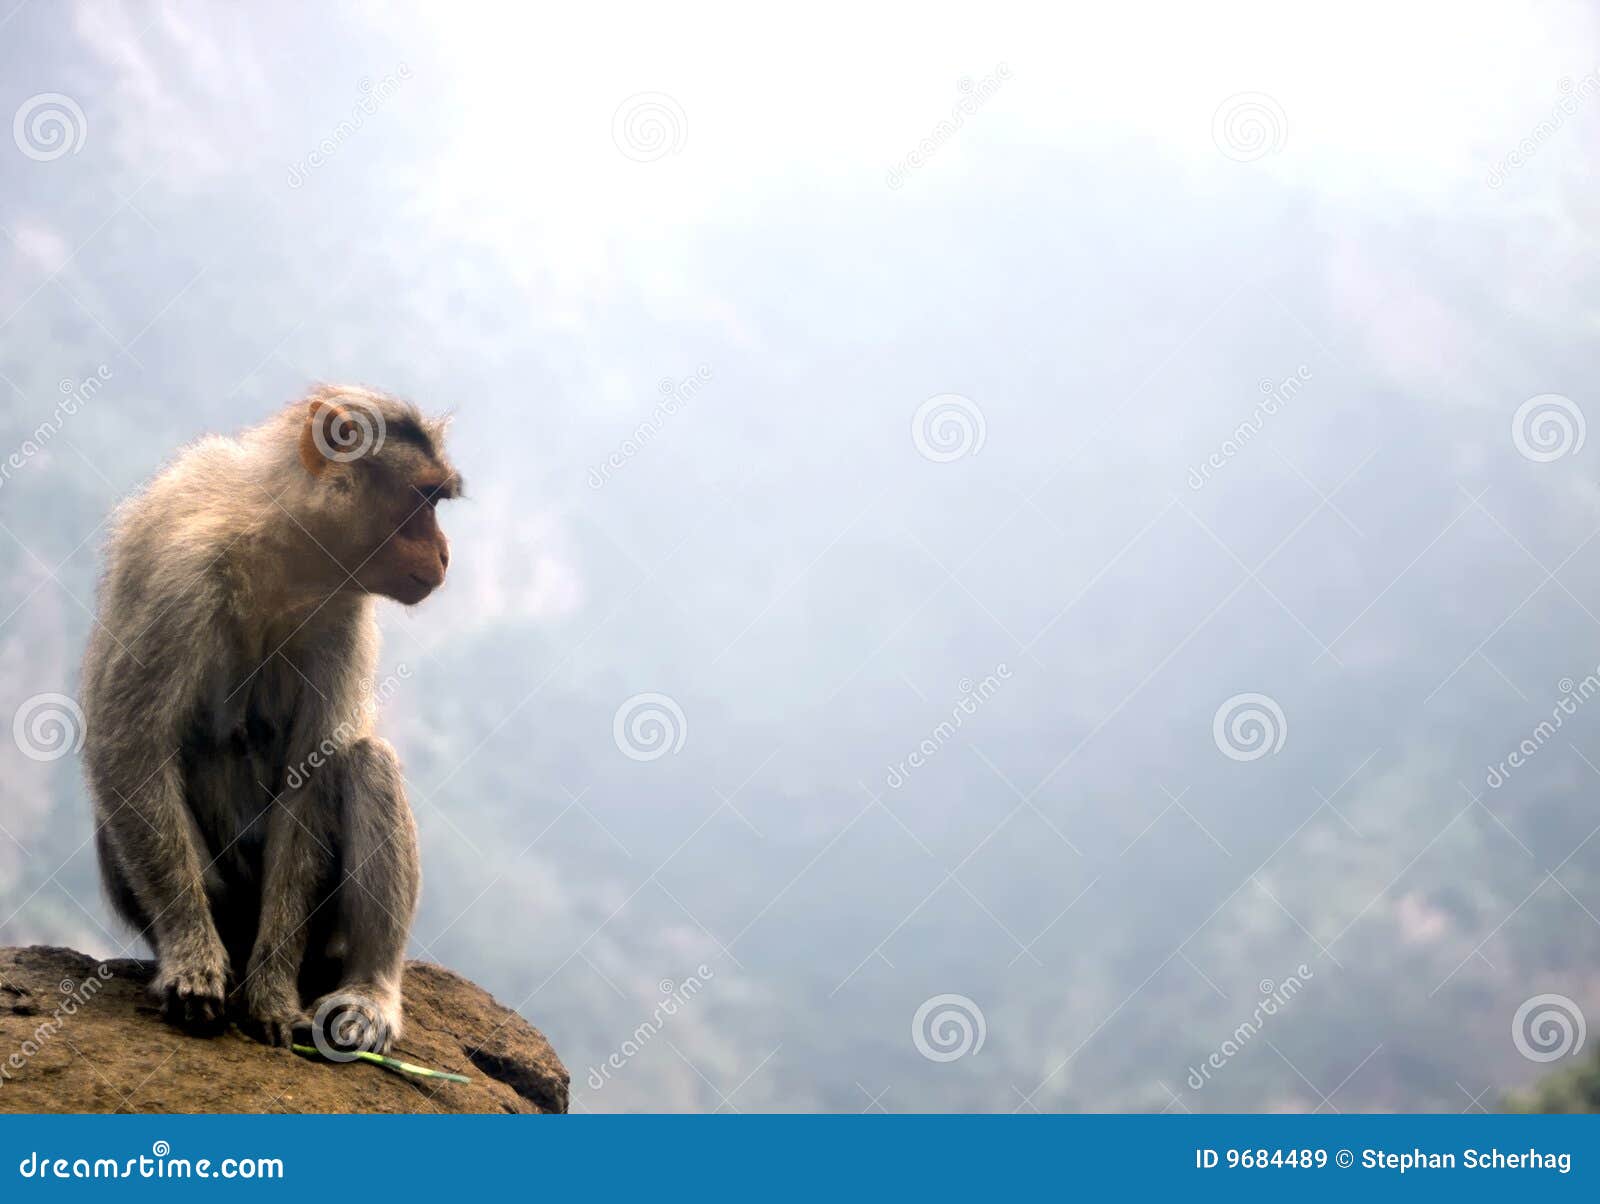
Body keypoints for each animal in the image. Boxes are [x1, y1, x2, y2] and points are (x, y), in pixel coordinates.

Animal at [79, 387, 464, 1050]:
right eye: (423, 499)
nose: (444, 554)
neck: (280, 541)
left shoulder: (342, 613)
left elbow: (310, 772)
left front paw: (273, 993)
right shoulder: (181, 576)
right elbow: (128, 745)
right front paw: (192, 957)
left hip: (324, 934)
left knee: (365, 762)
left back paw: (368, 992)